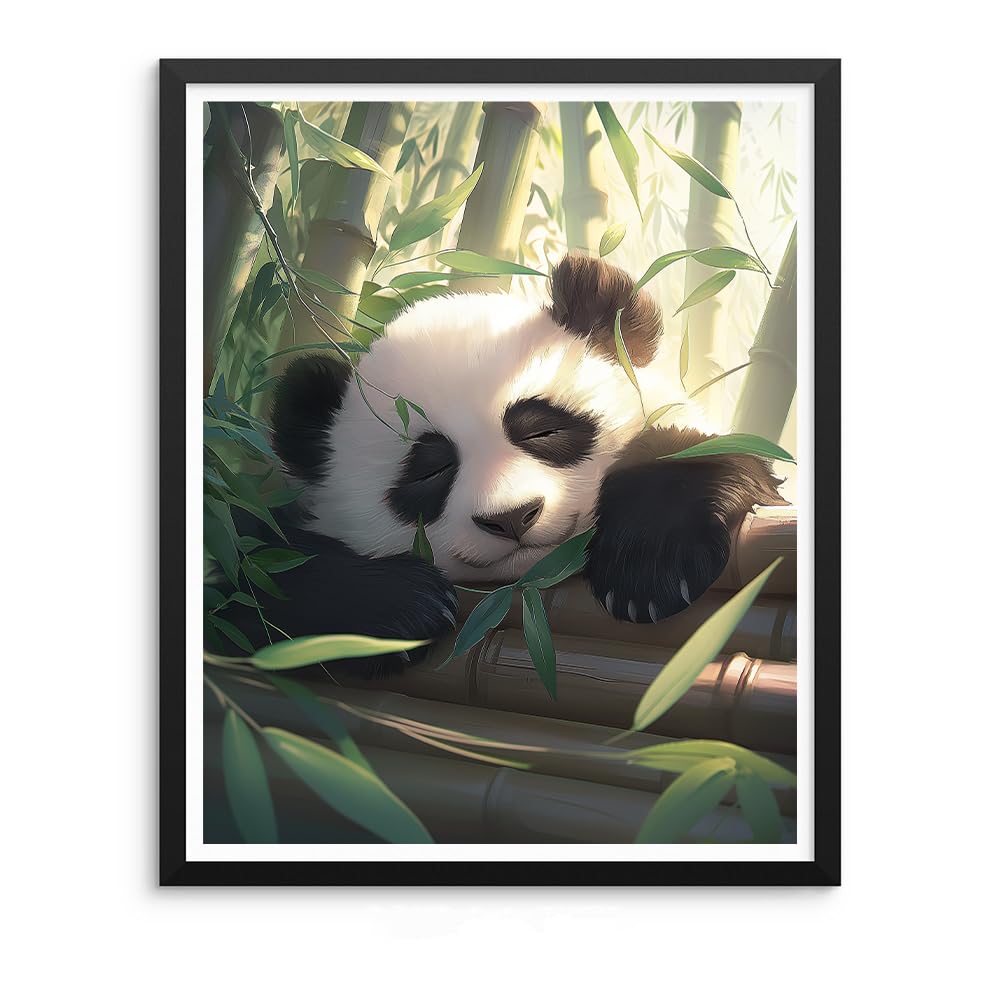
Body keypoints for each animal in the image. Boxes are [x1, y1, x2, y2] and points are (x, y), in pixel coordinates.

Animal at [249, 254, 784, 666]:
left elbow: (700, 452)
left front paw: (649, 569)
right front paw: (403, 605)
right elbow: (262, 570)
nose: (511, 517)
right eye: (432, 470)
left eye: (542, 430)